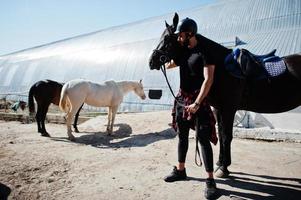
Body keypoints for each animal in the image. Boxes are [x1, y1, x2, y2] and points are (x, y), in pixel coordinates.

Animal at [148, 12, 300, 178]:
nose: (151, 62)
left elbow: (227, 136)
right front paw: (220, 163)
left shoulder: (229, 109)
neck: (221, 69)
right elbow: (221, 135)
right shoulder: (219, 109)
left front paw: (223, 169)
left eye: (167, 39)